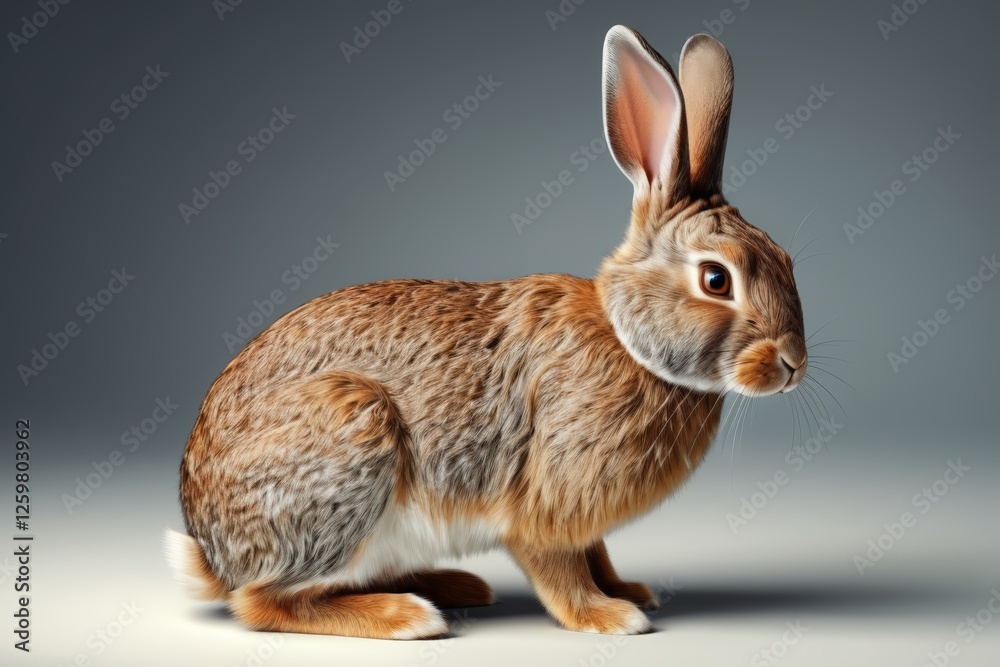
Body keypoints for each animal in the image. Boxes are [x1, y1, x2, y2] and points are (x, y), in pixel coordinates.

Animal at [165, 25, 806, 639]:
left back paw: (455, 586)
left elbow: (596, 553)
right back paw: (407, 617)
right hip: (347, 450)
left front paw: (627, 591)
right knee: (264, 601)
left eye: (786, 259)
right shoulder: (545, 503)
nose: (793, 363)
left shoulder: (584, 520)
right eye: (716, 279)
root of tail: (213, 553)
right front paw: (608, 616)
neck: (629, 340)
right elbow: (560, 568)